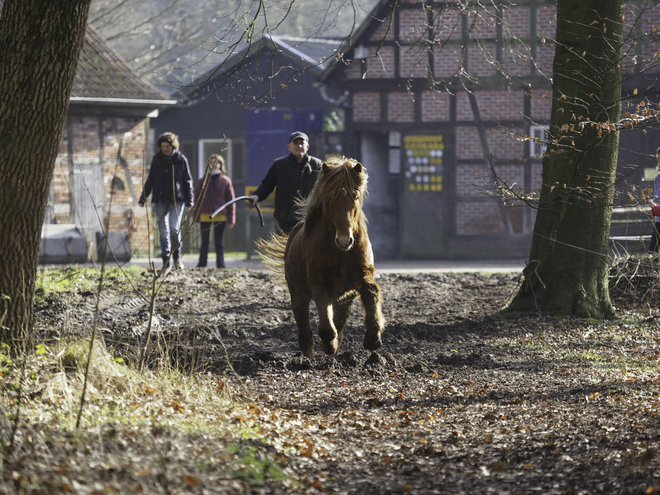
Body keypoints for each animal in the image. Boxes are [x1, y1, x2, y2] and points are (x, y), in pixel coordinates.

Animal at [256, 158, 384, 360]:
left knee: (339, 321)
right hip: (298, 294)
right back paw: (309, 357)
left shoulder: (360, 274)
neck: (339, 251)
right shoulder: (318, 281)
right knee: (304, 329)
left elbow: (370, 291)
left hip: (343, 298)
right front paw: (328, 344)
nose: (344, 240)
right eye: (331, 197)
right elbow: (324, 312)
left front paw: (373, 337)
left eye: (355, 196)